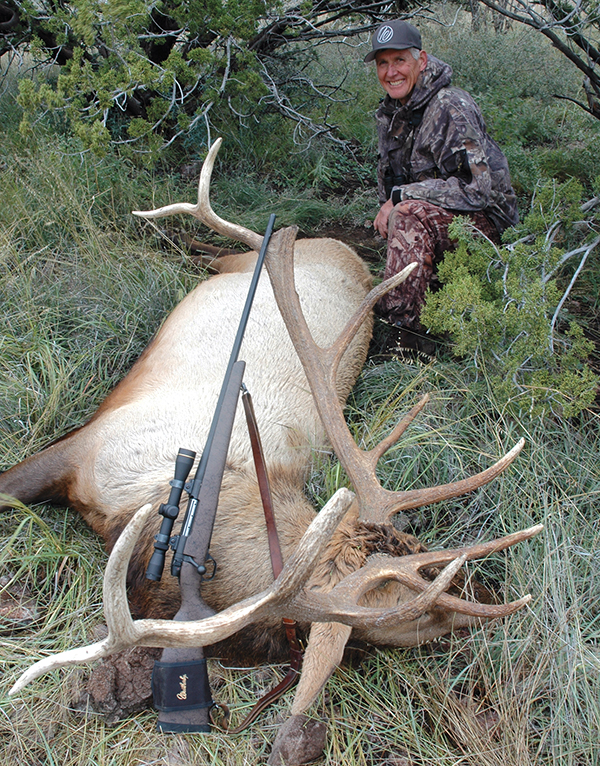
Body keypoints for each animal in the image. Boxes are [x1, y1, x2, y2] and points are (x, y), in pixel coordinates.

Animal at [3, 139, 542, 765]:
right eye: (421, 602)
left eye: (421, 548)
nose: (493, 591)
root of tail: (342, 248)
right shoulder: (83, 446)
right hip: (248, 257)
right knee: (230, 244)